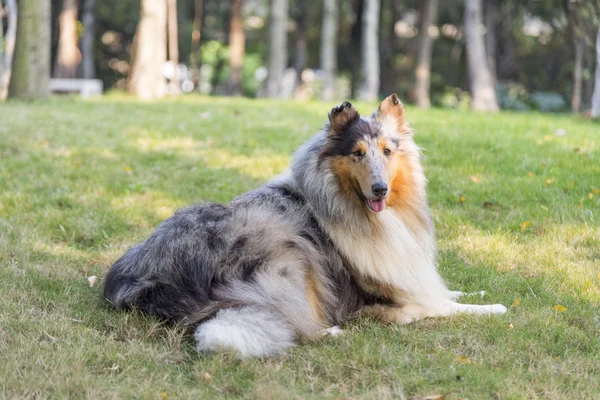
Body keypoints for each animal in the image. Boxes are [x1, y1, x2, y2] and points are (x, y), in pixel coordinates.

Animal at [103, 95, 506, 358]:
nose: (380, 189)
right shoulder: (383, 301)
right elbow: (441, 306)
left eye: (388, 152)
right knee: (299, 323)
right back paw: (332, 332)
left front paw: (474, 292)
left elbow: (443, 292)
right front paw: (493, 308)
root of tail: (139, 283)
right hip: (289, 254)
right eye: (357, 153)